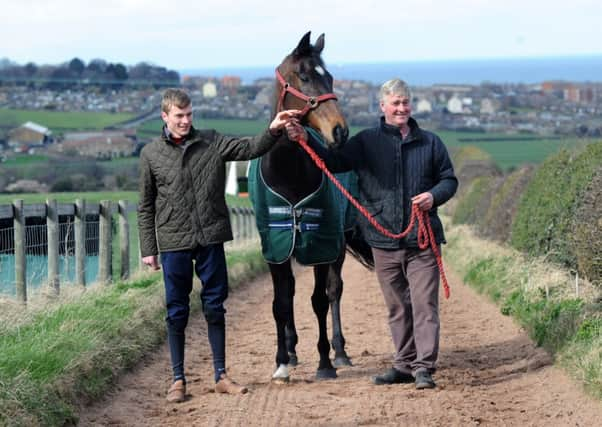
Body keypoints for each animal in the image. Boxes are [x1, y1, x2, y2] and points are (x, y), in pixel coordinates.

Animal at [246, 31, 358, 382]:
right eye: (305, 77)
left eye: (330, 77)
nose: (340, 131)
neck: (288, 173)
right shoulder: (276, 247)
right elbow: (281, 303)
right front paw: (281, 361)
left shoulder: (320, 244)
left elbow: (320, 300)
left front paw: (324, 363)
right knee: (291, 293)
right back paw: (293, 351)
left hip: (338, 244)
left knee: (335, 290)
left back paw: (340, 351)